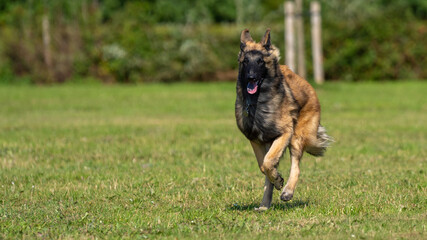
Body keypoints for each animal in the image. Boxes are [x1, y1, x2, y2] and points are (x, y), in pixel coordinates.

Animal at [236, 29, 332, 211]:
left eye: (260, 61)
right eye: (245, 61)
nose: (251, 77)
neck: (259, 101)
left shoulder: (284, 134)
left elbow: (268, 162)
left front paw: (279, 181)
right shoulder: (255, 140)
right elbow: (264, 166)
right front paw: (276, 179)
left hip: (296, 137)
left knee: (296, 166)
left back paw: (287, 191)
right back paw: (264, 204)